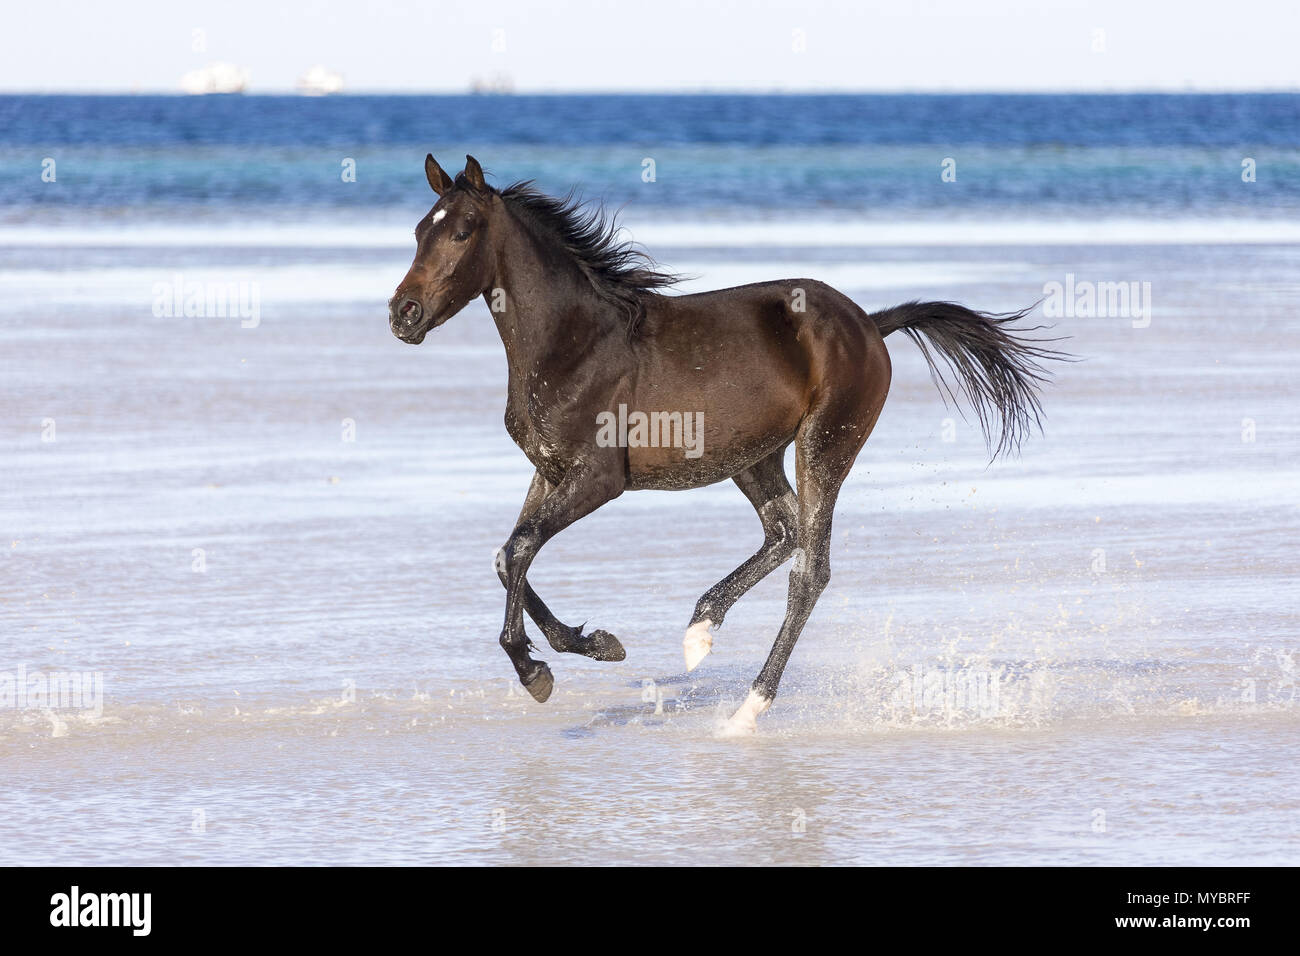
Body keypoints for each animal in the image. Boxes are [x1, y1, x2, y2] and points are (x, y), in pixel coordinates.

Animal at [382, 153, 1055, 738]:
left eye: (462, 232)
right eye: (418, 231)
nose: (402, 314)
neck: (572, 342)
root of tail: (869, 322)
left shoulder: (597, 479)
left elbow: (520, 548)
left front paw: (535, 672)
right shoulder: (547, 471)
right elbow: (508, 556)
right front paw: (594, 644)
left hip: (824, 446)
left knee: (810, 569)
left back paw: (746, 710)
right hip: (755, 456)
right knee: (784, 532)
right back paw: (700, 631)